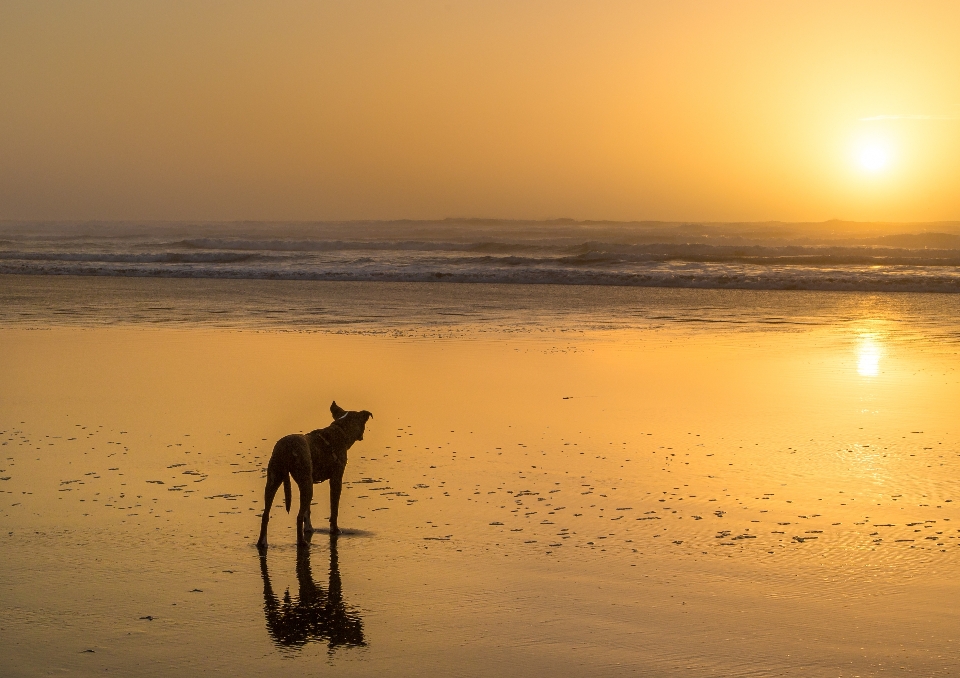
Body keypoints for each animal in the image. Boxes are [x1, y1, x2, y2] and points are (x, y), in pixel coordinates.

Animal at [256, 402, 374, 548]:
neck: (340, 430)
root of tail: (287, 446)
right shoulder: (336, 480)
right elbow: (334, 509)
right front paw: (335, 530)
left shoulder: (309, 481)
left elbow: (308, 510)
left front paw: (309, 528)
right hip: (305, 484)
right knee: (298, 516)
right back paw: (302, 542)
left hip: (274, 480)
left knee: (265, 515)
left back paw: (262, 543)